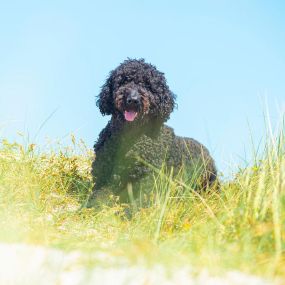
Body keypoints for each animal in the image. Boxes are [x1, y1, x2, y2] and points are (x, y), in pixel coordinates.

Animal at [87, 58, 216, 204]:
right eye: (124, 81)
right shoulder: (102, 176)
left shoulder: (147, 181)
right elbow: (98, 197)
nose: (133, 100)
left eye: (148, 86)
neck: (130, 136)